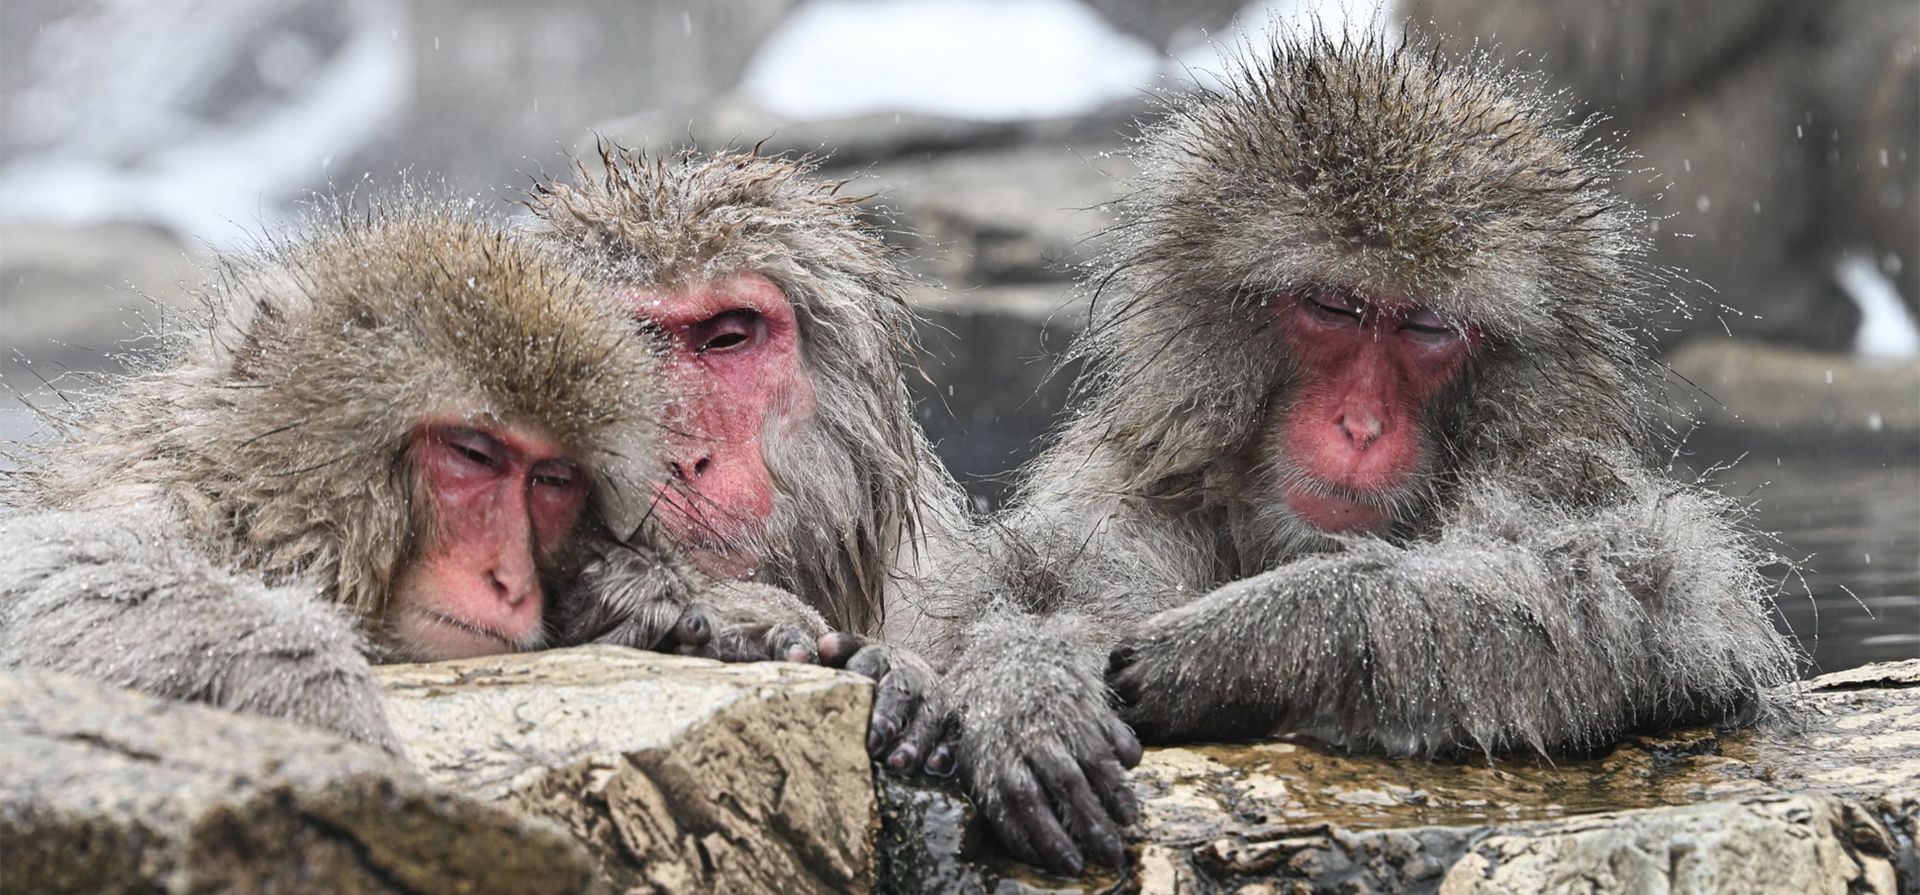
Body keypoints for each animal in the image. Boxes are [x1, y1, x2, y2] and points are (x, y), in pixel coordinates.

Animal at [0, 208, 763, 749]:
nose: (511, 582)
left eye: (552, 479)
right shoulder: (157, 504)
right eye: (474, 453)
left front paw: (658, 592)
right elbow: (44, 571)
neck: (250, 515)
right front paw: (313, 685)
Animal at [915, 31, 1804, 876]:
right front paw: (1026, 684)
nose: (1361, 424)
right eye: (1335, 308)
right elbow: (1017, 590)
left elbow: (1638, 586)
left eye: (1427, 327)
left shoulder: (1558, 464)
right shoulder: (1120, 486)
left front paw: (1263, 636)